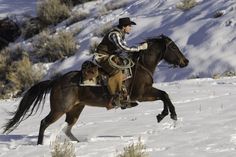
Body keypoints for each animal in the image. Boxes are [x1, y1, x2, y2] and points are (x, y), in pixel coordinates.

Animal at [2, 34, 188, 145]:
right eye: (173, 47)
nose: (185, 62)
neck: (140, 66)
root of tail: (56, 82)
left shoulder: (144, 94)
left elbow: (164, 95)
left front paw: (165, 115)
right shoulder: (141, 94)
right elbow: (164, 95)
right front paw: (169, 115)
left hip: (76, 109)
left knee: (67, 128)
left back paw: (79, 143)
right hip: (59, 109)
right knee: (44, 123)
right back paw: (40, 145)